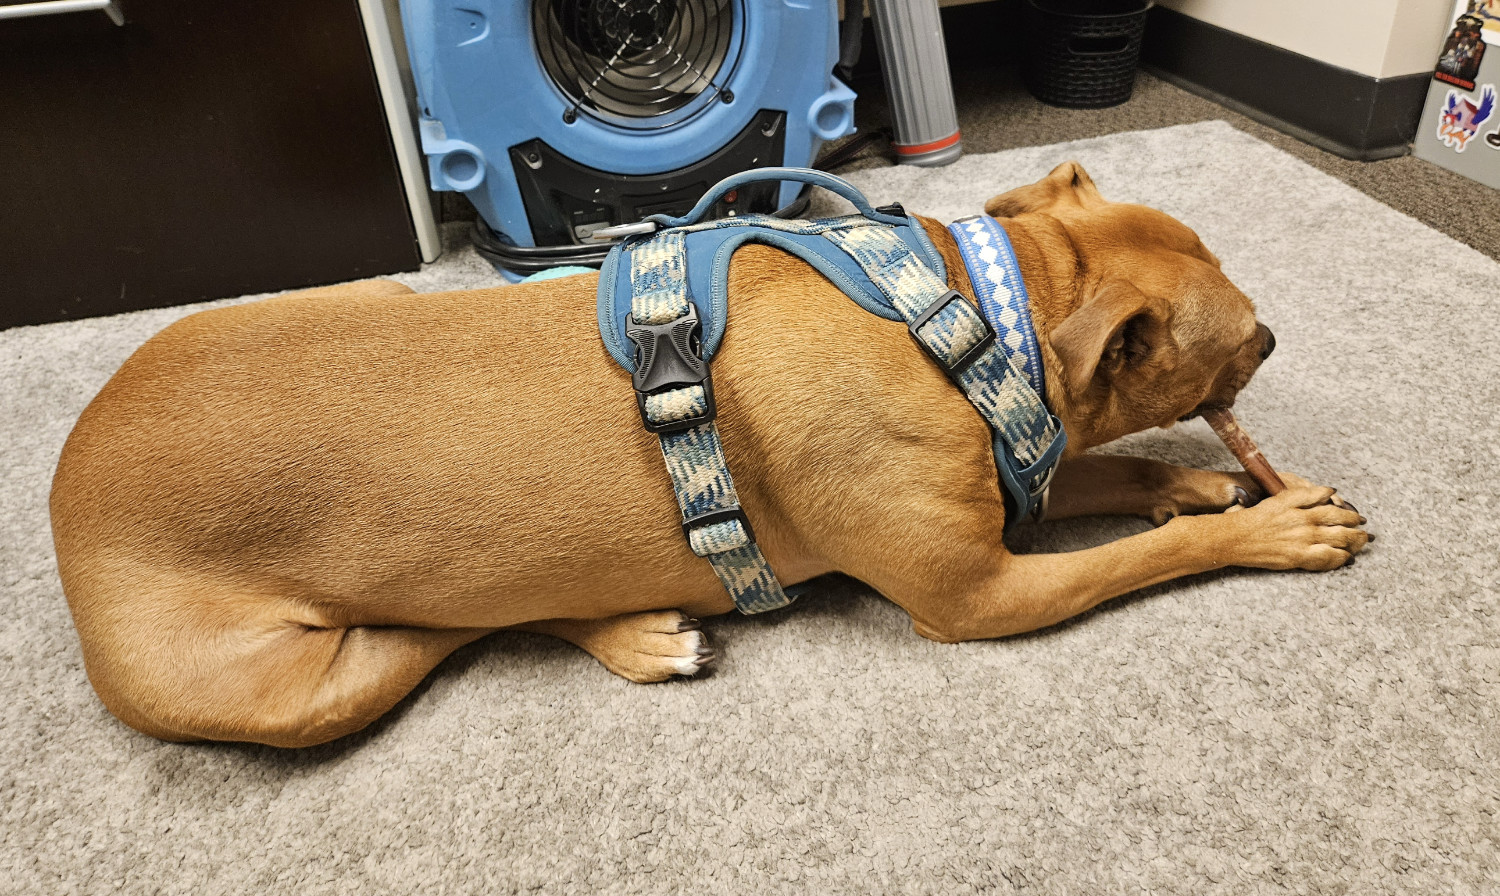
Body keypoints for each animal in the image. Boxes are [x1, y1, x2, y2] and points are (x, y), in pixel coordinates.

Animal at [46, 162, 1368, 747]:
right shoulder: (979, 592)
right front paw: (1267, 523)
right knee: (446, 627)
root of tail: (66, 479)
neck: (977, 319)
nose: (1280, 334)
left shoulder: (1018, 478)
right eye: (1242, 332)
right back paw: (624, 624)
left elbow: (1116, 474)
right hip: (292, 685)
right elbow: (1146, 558)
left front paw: (1200, 481)